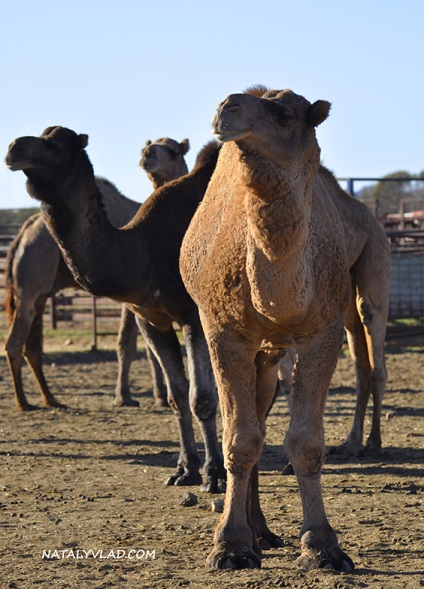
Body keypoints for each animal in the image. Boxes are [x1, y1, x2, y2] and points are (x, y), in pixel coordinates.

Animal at [4, 138, 190, 412]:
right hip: (30, 285)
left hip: (37, 294)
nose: (148, 155)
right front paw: (126, 397)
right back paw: (24, 402)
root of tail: (22, 233)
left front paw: (155, 396)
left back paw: (51, 399)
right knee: (15, 344)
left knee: (32, 347)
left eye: (173, 151)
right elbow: (128, 343)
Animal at [180, 86, 390, 568]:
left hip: (365, 277)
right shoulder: (223, 331)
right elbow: (240, 439)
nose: (227, 108)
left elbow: (306, 443)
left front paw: (322, 546)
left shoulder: (322, 332)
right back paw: (256, 532)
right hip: (260, 346)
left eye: (284, 114)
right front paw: (230, 546)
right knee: (253, 421)